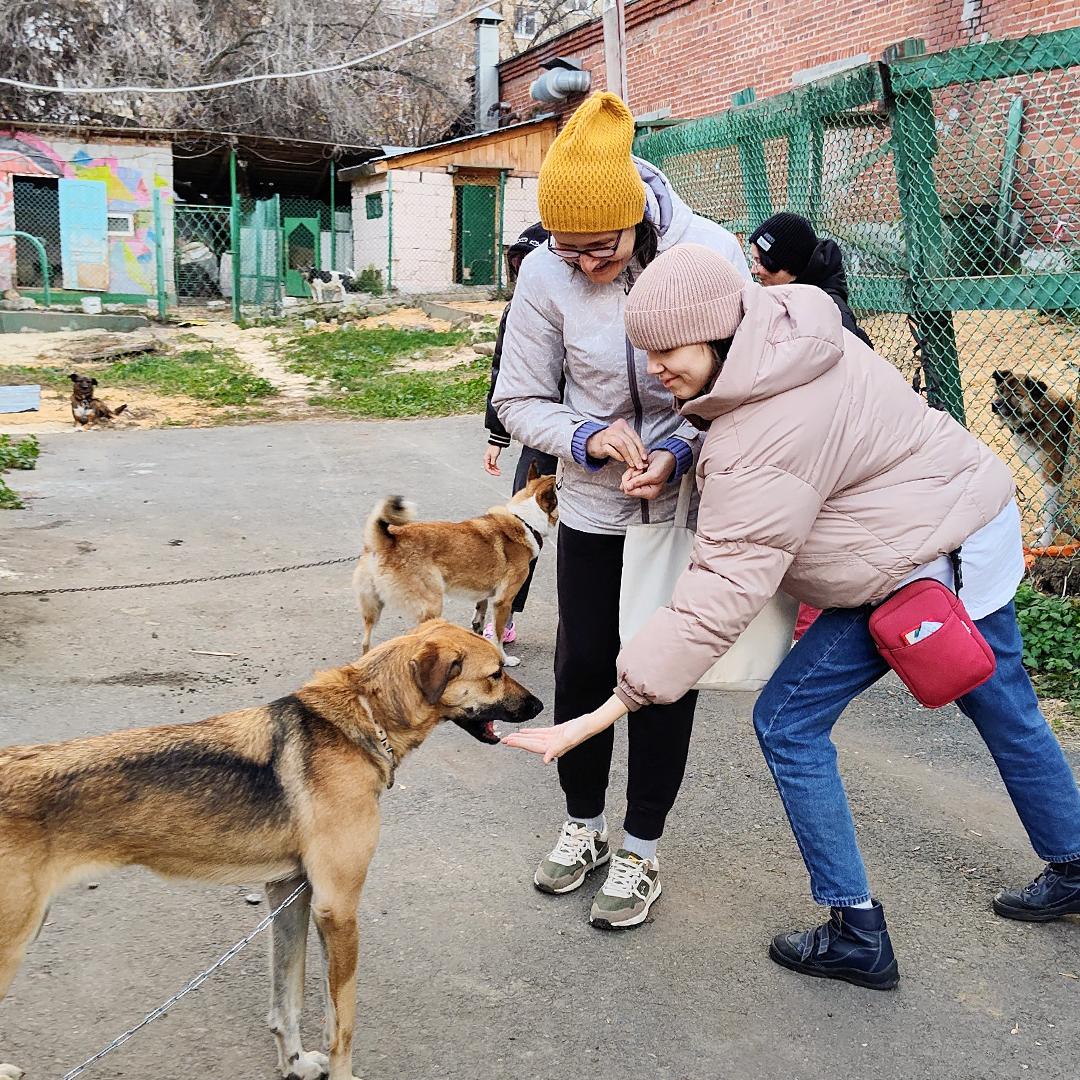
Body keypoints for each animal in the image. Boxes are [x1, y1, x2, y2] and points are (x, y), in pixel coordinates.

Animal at [352, 464, 557, 665]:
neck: (525, 521)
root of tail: (387, 540)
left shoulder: (484, 591)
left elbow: (481, 608)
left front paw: (478, 629)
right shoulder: (503, 602)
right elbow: (498, 638)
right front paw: (504, 659)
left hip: (372, 608)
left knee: (365, 643)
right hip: (432, 604)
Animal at [989, 369, 1075, 540]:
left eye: (1016, 394)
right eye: (1000, 390)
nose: (994, 405)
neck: (1035, 421)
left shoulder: (1051, 479)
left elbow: (1049, 512)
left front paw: (1045, 541)